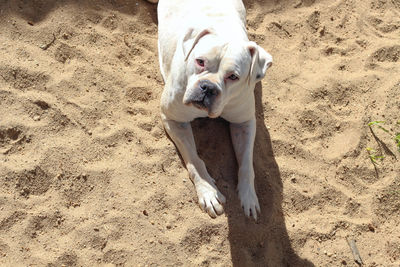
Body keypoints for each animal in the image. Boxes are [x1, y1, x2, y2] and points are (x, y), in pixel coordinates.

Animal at [152, 0, 272, 220]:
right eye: (200, 61)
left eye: (233, 76)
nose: (208, 87)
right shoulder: (174, 120)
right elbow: (194, 160)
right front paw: (208, 191)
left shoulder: (244, 123)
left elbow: (246, 164)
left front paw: (248, 195)